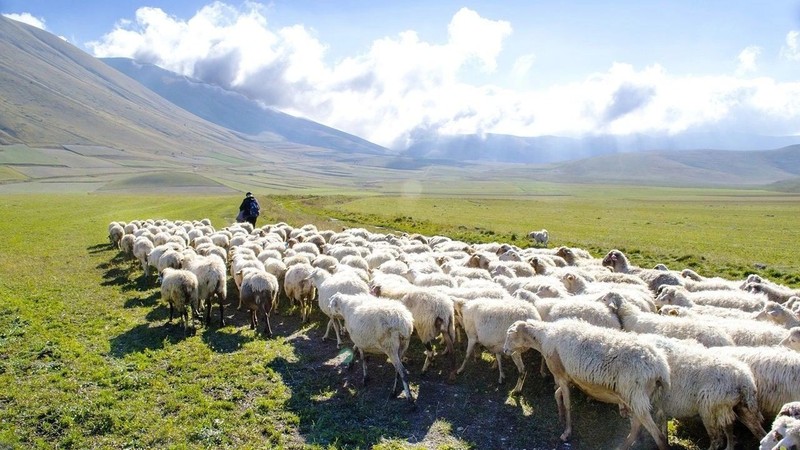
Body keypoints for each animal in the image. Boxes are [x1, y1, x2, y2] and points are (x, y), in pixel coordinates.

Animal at [506, 320, 668, 450]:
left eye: (510, 335)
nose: (505, 350)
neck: (544, 338)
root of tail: (660, 367)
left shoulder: (561, 376)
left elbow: (567, 404)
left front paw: (567, 432)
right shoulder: (569, 378)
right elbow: (557, 394)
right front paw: (560, 416)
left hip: (636, 396)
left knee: (656, 435)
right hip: (641, 398)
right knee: (639, 427)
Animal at [636, 334, 768, 450]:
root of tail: (743, 380)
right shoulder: (661, 403)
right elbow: (662, 423)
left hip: (708, 409)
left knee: (717, 440)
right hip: (737, 408)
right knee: (755, 431)